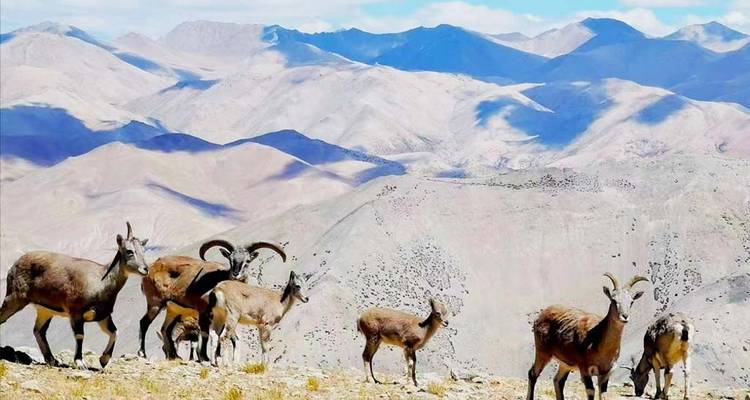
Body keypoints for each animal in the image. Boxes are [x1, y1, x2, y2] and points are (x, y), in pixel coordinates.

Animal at [0, 222, 149, 369]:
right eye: (129, 251)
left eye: (143, 251)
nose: (145, 269)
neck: (101, 282)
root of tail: (14, 265)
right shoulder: (76, 312)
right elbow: (80, 335)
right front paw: (80, 362)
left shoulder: (103, 315)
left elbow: (114, 332)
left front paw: (104, 359)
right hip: (14, 298)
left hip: (45, 310)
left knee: (39, 330)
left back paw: (52, 360)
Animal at [138, 240, 285, 360]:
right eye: (231, 259)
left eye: (247, 261)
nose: (236, 273)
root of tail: (150, 269)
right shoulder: (203, 311)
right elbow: (206, 334)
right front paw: (206, 357)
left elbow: (220, 335)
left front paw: (217, 357)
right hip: (155, 303)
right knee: (144, 323)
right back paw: (142, 353)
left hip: (173, 310)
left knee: (166, 330)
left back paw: (175, 356)